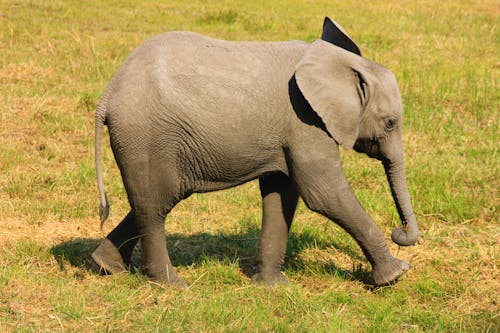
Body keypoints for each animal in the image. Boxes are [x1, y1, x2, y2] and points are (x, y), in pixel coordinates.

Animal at [90, 17, 418, 288]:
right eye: (390, 122)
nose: (399, 233)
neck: (335, 61)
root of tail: (108, 93)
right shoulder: (305, 121)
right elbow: (324, 194)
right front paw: (395, 275)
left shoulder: (290, 131)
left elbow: (282, 193)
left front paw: (273, 286)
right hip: (147, 136)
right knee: (155, 207)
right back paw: (172, 286)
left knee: (153, 201)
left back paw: (106, 266)